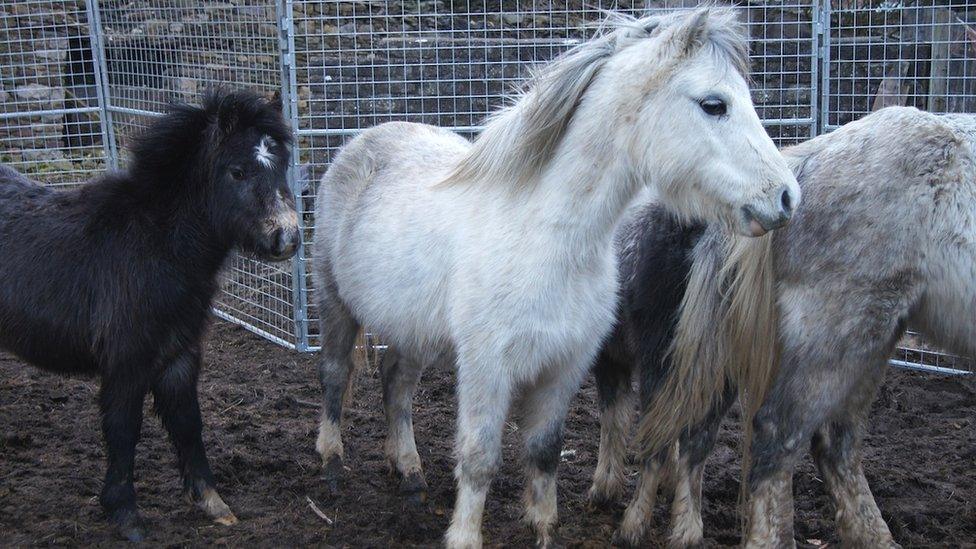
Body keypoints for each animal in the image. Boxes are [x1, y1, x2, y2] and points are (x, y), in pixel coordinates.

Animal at [0, 90, 300, 540]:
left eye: (281, 165)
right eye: (237, 171)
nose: (286, 238)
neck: (156, 246)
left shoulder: (180, 354)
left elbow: (188, 422)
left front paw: (213, 503)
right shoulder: (127, 360)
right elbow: (124, 430)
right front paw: (125, 514)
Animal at [312, 6, 800, 544]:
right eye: (714, 104)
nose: (786, 197)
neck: (548, 241)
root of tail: (364, 141)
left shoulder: (566, 367)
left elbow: (545, 452)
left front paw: (543, 529)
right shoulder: (487, 369)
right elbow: (480, 458)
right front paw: (464, 536)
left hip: (412, 330)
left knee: (396, 385)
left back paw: (410, 473)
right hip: (334, 303)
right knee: (335, 375)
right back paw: (332, 464)